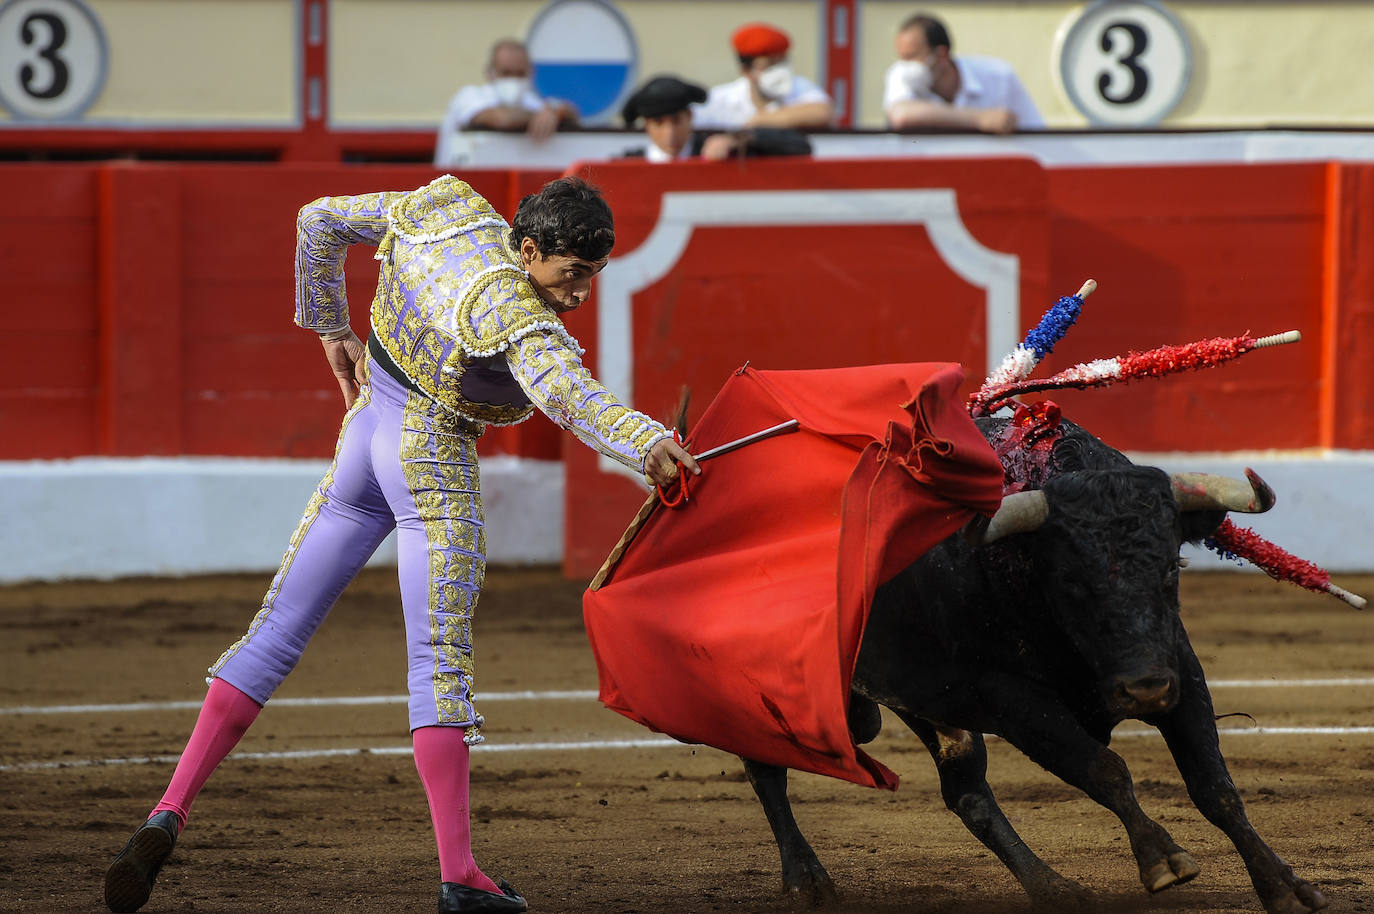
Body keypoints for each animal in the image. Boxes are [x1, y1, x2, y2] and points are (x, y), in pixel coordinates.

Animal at [741, 415, 1330, 912]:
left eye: (1171, 567)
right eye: (1071, 580)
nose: (1143, 690)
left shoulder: (1179, 669)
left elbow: (1215, 788)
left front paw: (1286, 887)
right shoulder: (1009, 699)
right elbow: (1103, 768)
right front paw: (1163, 859)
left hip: (920, 700)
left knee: (967, 792)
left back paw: (1052, 888)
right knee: (766, 765)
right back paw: (806, 880)